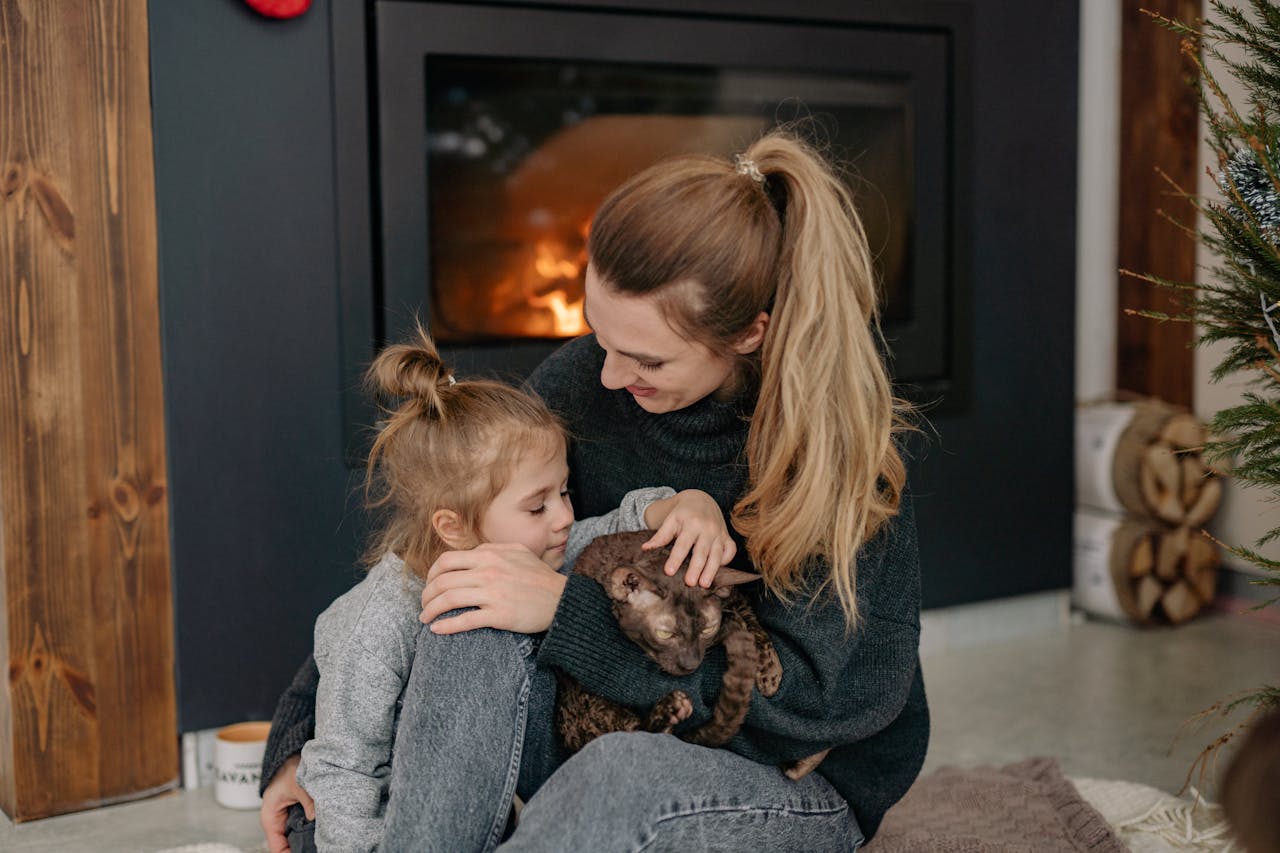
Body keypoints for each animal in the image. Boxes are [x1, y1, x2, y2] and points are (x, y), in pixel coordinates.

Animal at [555, 527, 824, 778]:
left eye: (707, 629)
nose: (691, 664)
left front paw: (769, 673)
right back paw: (671, 709)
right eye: (665, 634)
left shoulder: (735, 598)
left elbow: (756, 626)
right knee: (634, 731)